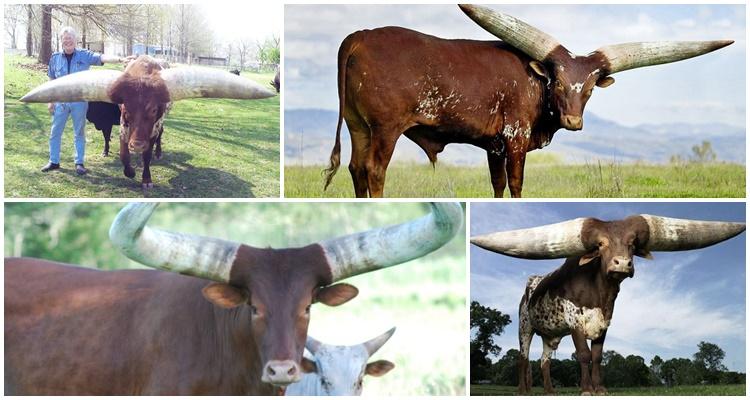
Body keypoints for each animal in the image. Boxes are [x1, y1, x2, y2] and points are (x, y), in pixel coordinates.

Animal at [20, 55, 275, 190]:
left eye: (153, 109)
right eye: (125, 109)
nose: (138, 144)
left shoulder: (152, 129)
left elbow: (146, 157)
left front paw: (146, 178)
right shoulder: (122, 130)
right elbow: (123, 154)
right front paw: (129, 171)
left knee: (161, 138)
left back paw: (159, 153)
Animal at [323, 4, 733, 198]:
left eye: (589, 89)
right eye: (558, 82)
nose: (573, 122)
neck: (536, 86)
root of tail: (361, 35)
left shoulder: (493, 146)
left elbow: (497, 184)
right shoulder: (515, 139)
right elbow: (517, 184)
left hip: (359, 126)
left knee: (356, 169)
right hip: (385, 128)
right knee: (375, 170)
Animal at [471, 214, 745, 395]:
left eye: (632, 244)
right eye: (601, 245)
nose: (622, 264)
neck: (601, 294)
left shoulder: (604, 323)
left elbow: (597, 356)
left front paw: (600, 388)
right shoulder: (575, 322)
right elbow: (583, 355)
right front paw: (586, 390)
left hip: (550, 336)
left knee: (545, 361)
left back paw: (549, 391)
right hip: (525, 327)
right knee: (523, 358)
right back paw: (522, 390)